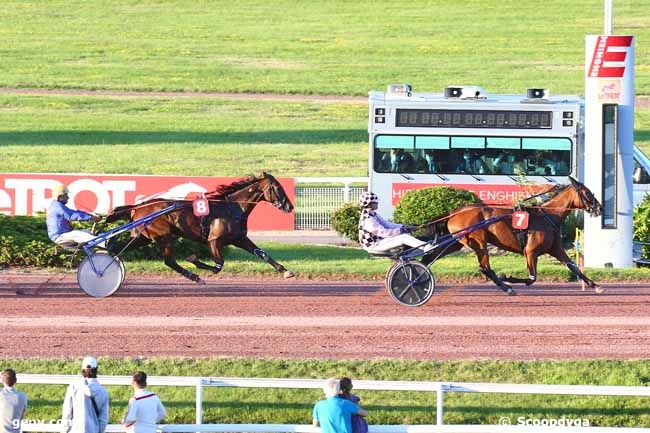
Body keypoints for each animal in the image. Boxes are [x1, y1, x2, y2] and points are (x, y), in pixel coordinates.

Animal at [105, 172, 294, 284]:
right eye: (277, 188)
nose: (289, 206)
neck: (232, 208)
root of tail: (138, 206)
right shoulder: (214, 241)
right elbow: (218, 265)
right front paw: (193, 259)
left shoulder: (239, 239)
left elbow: (263, 254)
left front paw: (286, 271)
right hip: (163, 236)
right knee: (169, 261)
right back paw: (194, 277)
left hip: (142, 237)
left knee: (116, 247)